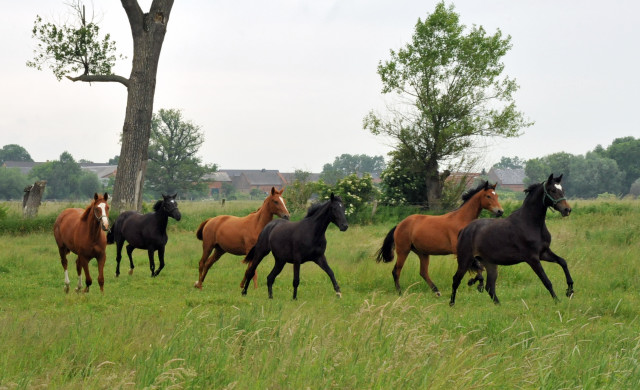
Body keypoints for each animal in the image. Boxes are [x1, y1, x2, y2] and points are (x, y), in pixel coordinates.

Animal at [376, 181, 504, 298]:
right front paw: (476, 283)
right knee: (396, 271)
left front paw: (478, 283)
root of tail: (399, 224)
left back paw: (436, 291)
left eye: (497, 195)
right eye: (488, 196)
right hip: (403, 250)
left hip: (423, 253)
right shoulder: (460, 250)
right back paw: (400, 293)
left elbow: (479, 266)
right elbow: (477, 266)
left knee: (423, 272)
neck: (461, 220)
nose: (500, 211)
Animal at [450, 175, 576, 306]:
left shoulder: (544, 253)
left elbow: (562, 262)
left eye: (562, 190)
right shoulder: (532, 258)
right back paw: (452, 304)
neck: (530, 223)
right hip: (465, 260)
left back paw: (499, 306)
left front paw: (570, 290)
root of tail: (464, 230)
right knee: (456, 279)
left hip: (490, 264)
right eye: (552, 190)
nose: (567, 210)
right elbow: (546, 281)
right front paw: (557, 300)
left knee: (489, 287)